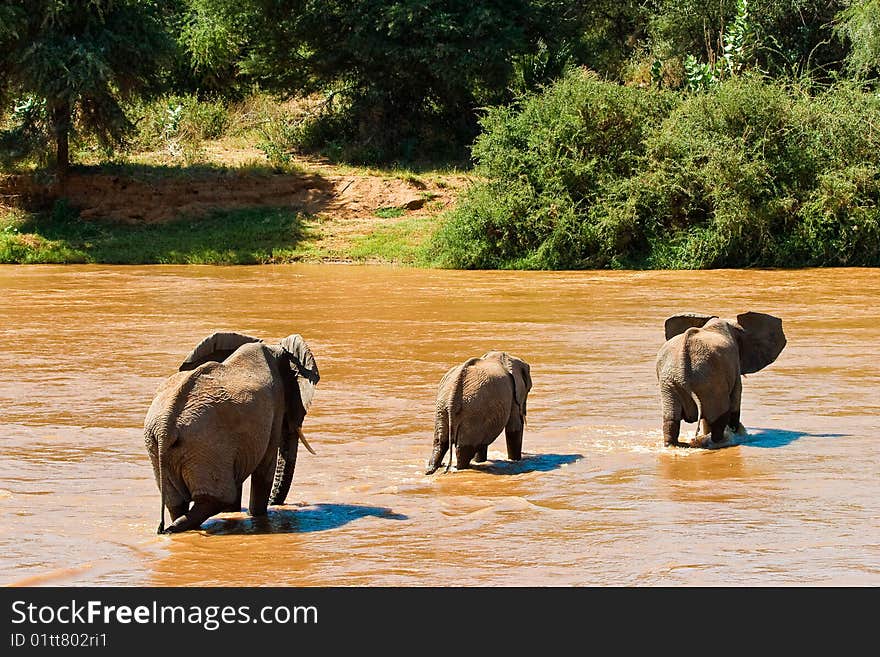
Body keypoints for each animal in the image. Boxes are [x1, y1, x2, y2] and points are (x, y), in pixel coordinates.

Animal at [144, 330, 320, 532]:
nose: (276, 504)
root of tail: (166, 427)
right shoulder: (276, 404)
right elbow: (265, 466)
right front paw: (256, 515)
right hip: (206, 447)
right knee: (216, 498)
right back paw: (175, 528)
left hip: (159, 448)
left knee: (175, 501)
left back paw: (172, 528)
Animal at [656, 312, 788, 446]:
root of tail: (683, 374)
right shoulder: (734, 364)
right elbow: (735, 401)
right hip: (710, 383)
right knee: (719, 418)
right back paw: (720, 441)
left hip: (670, 384)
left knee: (671, 420)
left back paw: (673, 445)